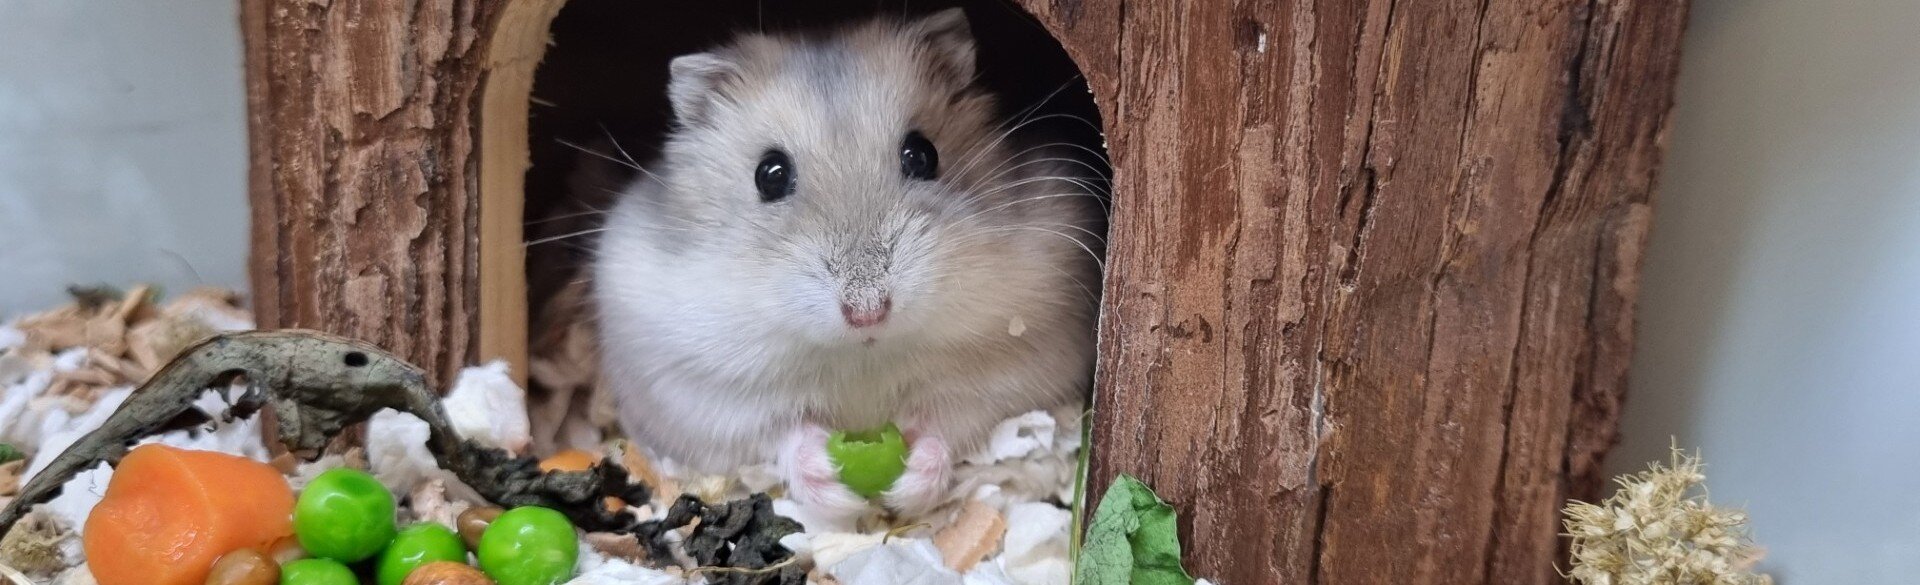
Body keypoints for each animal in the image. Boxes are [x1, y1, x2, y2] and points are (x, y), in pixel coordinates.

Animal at [591, 8, 1104, 518]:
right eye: (769, 175)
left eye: (922, 154)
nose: (867, 313)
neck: (861, 358)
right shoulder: (705, 396)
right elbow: (780, 433)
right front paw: (835, 495)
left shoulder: (1006, 377)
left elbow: (949, 422)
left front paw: (907, 489)